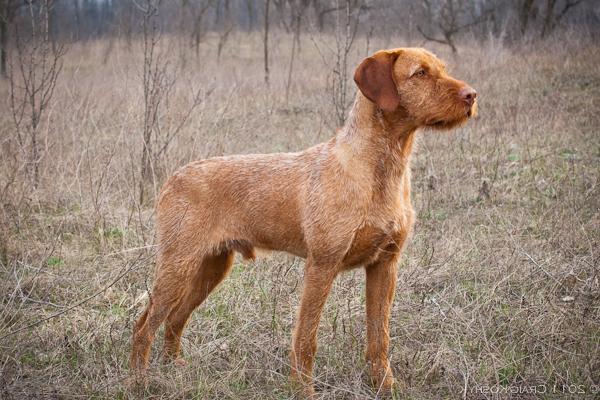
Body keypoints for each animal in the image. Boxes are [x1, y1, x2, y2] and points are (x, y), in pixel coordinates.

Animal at [129, 47, 476, 396]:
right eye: (420, 73)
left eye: (442, 69)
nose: (472, 95)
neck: (379, 169)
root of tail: (173, 178)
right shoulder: (321, 265)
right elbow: (306, 339)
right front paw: (303, 390)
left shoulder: (385, 265)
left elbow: (380, 337)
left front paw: (385, 387)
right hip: (179, 265)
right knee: (144, 324)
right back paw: (139, 381)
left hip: (211, 267)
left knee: (175, 318)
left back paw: (172, 366)